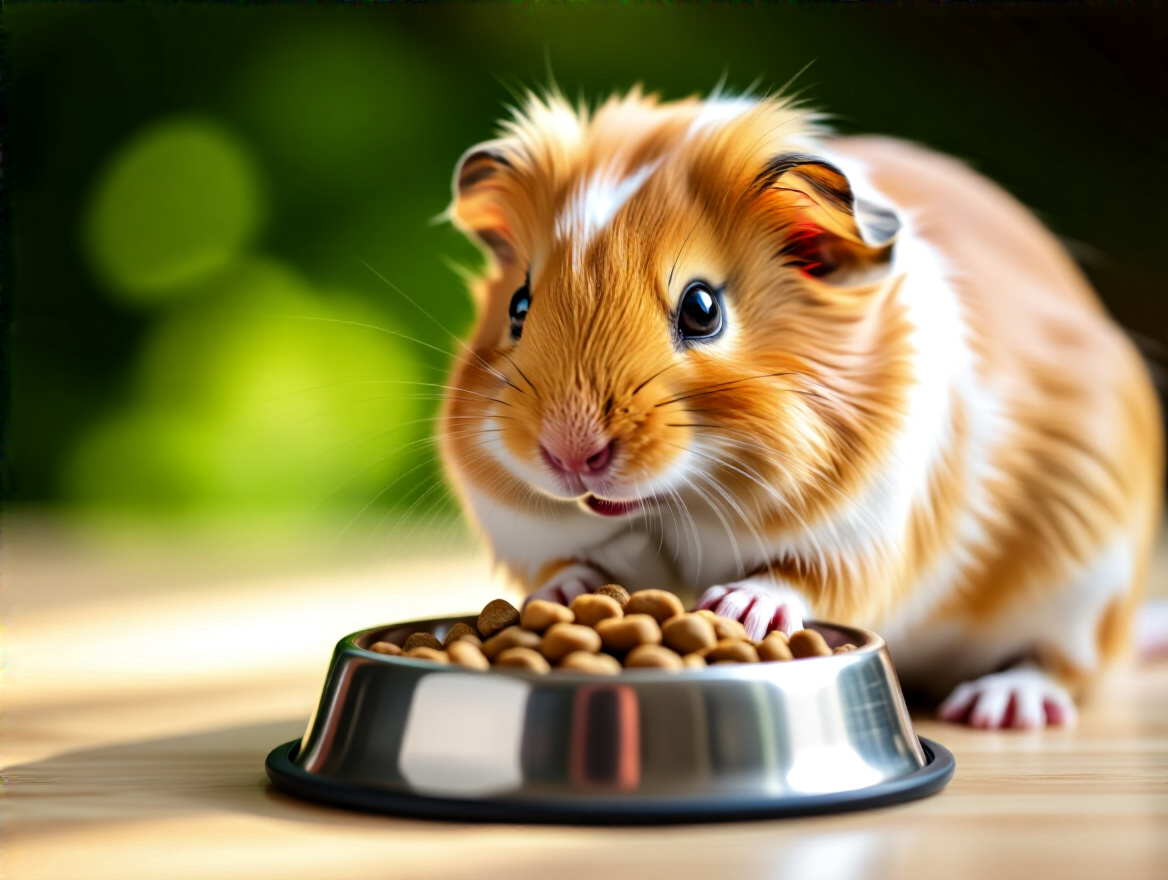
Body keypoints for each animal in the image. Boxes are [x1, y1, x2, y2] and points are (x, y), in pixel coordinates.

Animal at [439, 89, 1163, 729]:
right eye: (519, 307)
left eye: (702, 308)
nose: (569, 454)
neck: (690, 499)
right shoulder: (528, 531)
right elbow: (567, 562)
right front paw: (568, 595)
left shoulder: (866, 534)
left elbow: (803, 577)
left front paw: (735, 608)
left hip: (1085, 586)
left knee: (1063, 666)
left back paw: (996, 710)